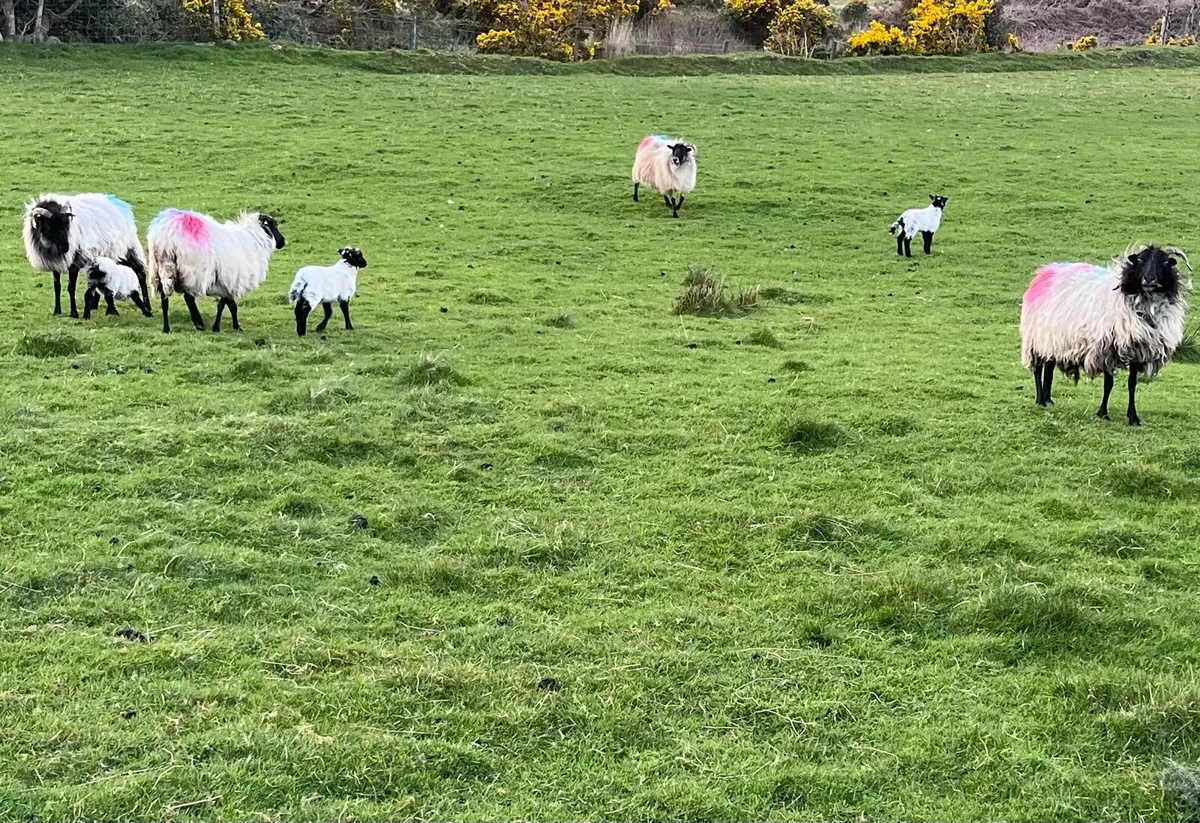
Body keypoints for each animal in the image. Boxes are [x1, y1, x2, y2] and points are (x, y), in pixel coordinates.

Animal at [147, 208, 285, 334]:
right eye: (274, 226)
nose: (283, 241)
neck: (253, 240)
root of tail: (166, 237)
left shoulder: (225, 282)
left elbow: (227, 305)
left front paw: (226, 327)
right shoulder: (228, 280)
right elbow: (227, 306)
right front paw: (226, 327)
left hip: (162, 269)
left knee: (165, 300)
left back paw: (167, 328)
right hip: (192, 271)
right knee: (188, 298)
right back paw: (199, 324)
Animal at [1020, 244, 1191, 426]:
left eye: (1165, 262)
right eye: (1140, 260)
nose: (1149, 279)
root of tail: (1045, 272)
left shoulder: (1137, 351)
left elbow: (1132, 384)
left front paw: (1133, 417)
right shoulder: (1107, 347)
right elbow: (1108, 383)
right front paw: (1103, 413)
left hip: (1053, 340)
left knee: (1049, 368)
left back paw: (1048, 400)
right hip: (1035, 338)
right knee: (1038, 369)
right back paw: (1040, 400)